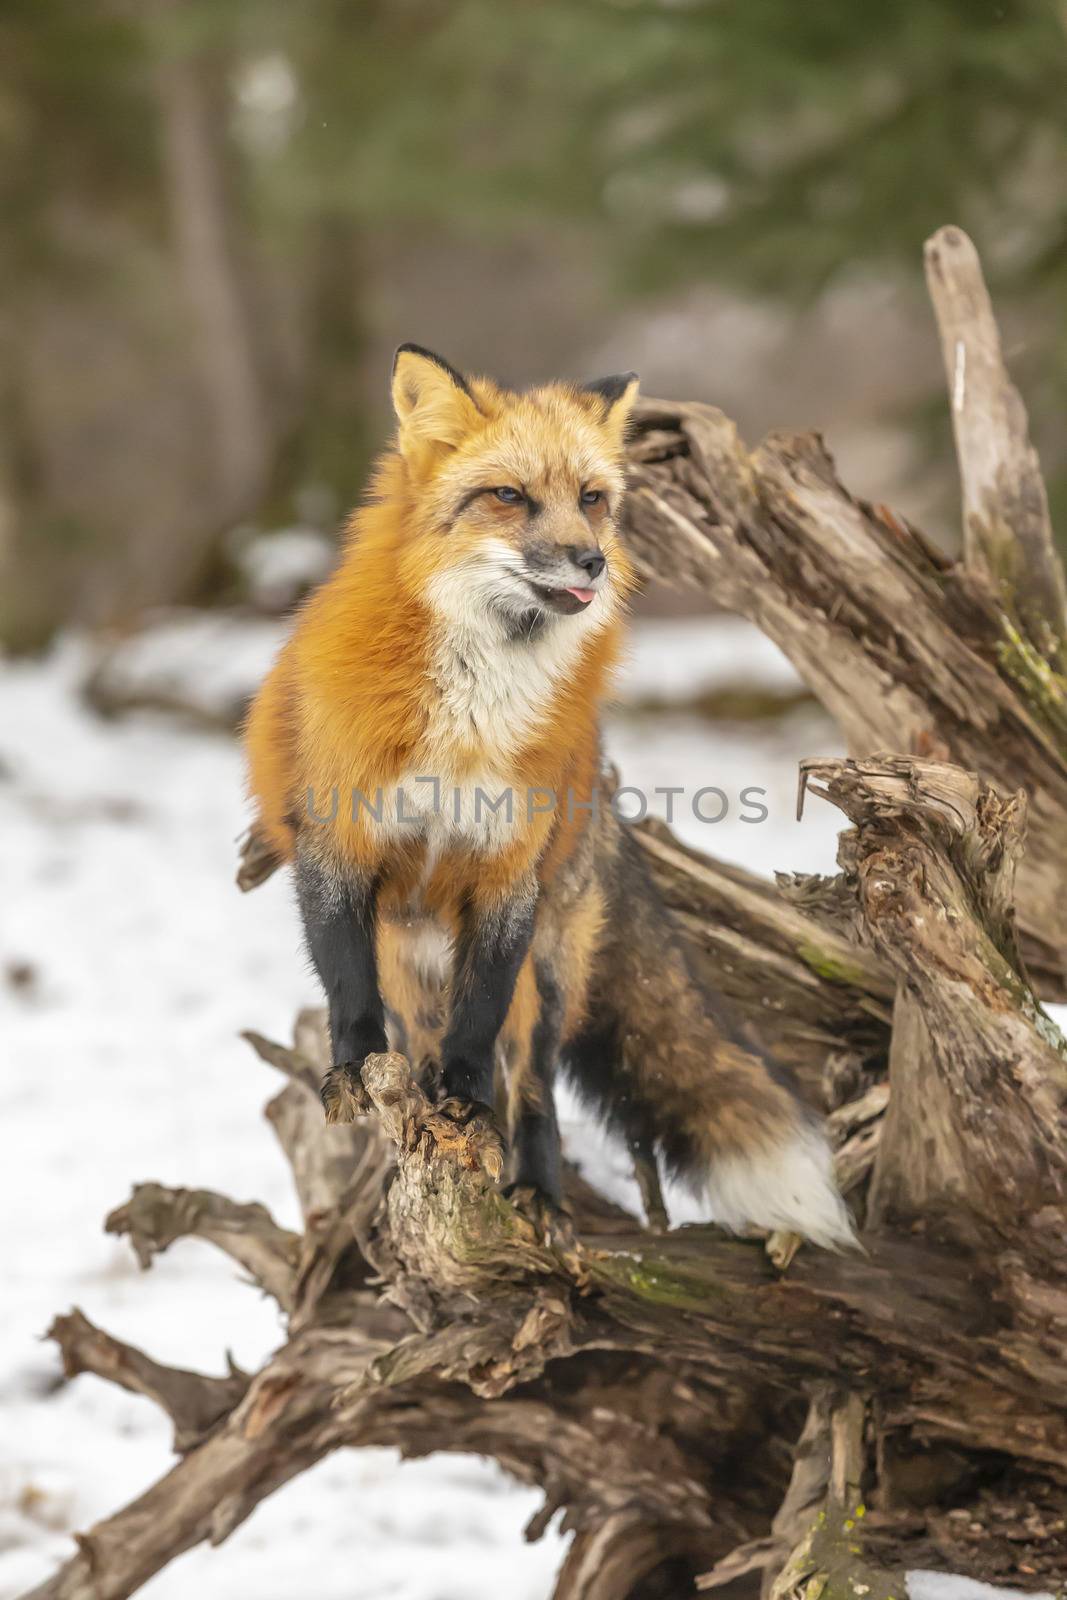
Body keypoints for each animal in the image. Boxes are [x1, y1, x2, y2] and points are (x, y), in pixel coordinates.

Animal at [246, 347, 857, 1248]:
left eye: (592, 500)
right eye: (508, 496)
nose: (591, 561)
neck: (470, 716)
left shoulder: (508, 876)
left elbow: (480, 1030)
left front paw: (466, 1105)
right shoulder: (340, 850)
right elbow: (348, 991)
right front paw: (354, 1069)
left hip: (549, 966)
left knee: (531, 1079)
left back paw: (534, 1187)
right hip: (413, 962)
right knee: (417, 1043)